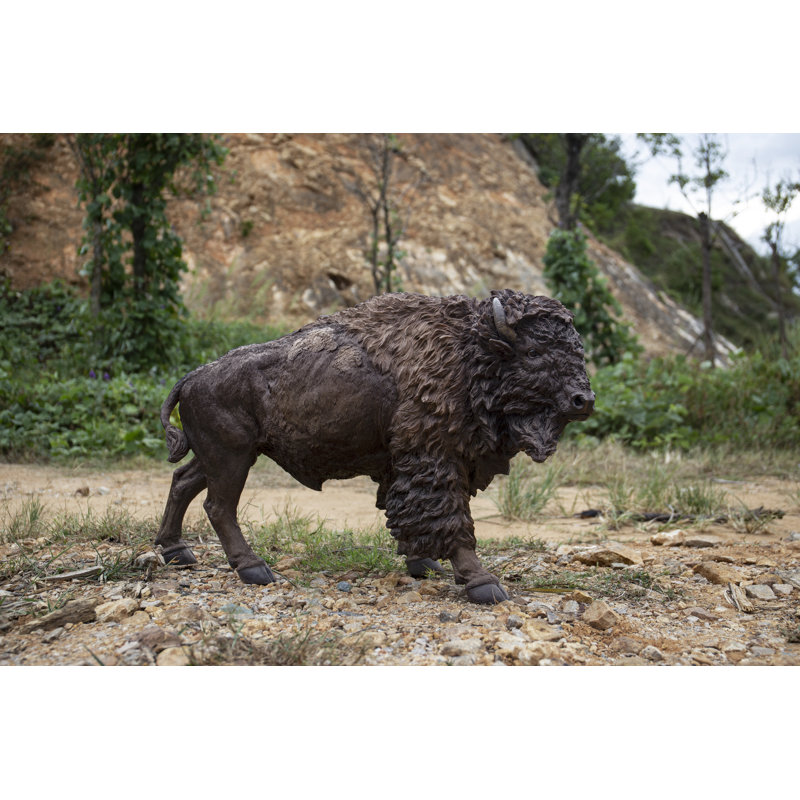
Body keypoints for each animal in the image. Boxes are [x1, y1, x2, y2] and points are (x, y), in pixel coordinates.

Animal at [155, 289, 594, 604]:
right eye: (533, 352)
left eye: (578, 350)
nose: (583, 400)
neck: (469, 352)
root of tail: (192, 376)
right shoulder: (435, 457)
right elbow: (450, 518)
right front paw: (484, 584)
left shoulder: (408, 464)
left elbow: (411, 516)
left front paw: (424, 564)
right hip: (232, 457)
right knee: (218, 506)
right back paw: (254, 570)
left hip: (220, 455)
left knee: (183, 481)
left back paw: (176, 551)